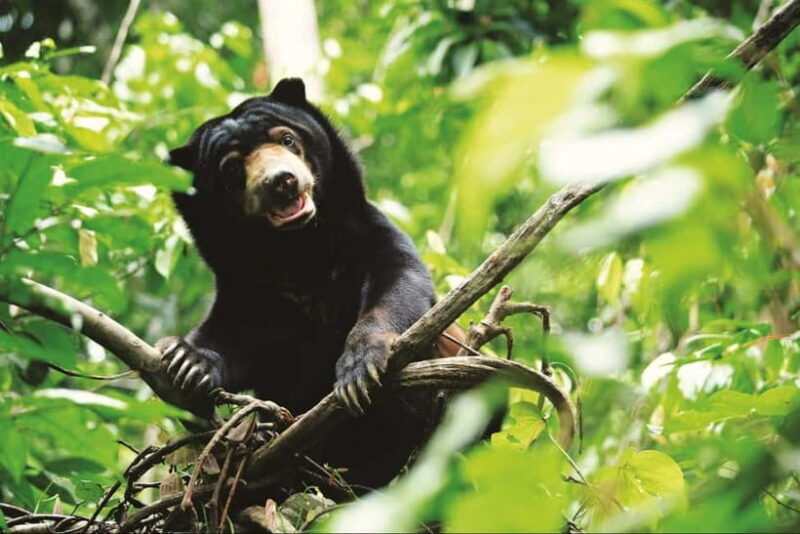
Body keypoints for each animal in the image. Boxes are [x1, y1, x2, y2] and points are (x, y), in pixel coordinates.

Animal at [157, 78, 449, 489]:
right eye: (231, 169)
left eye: (287, 139)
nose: (281, 182)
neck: (300, 250)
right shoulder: (249, 285)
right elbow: (232, 333)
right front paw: (187, 361)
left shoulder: (367, 232)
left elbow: (399, 279)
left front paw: (359, 367)